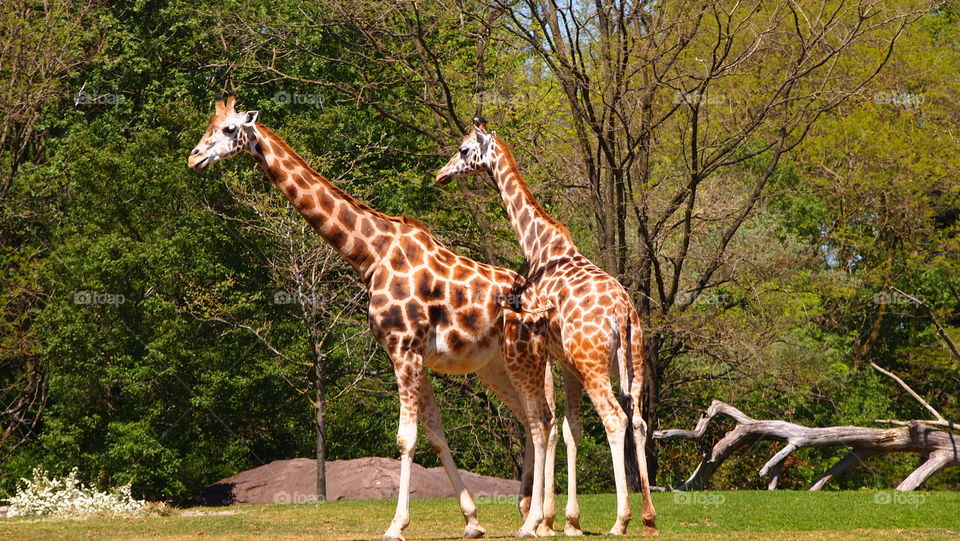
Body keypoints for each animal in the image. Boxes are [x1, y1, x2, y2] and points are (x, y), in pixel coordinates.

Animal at [187, 94, 556, 540]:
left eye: (228, 129)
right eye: (209, 125)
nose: (193, 157)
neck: (369, 254)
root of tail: (542, 300)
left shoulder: (404, 349)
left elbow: (406, 439)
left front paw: (396, 525)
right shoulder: (411, 355)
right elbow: (435, 435)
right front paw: (471, 520)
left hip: (523, 357)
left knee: (540, 421)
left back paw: (535, 522)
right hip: (495, 365)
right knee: (532, 419)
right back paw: (532, 515)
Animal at [435, 118, 658, 536]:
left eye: (463, 150)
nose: (440, 174)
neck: (539, 247)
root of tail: (622, 312)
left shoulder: (552, 353)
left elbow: (551, 423)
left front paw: (546, 519)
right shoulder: (567, 360)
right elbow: (571, 428)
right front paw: (568, 519)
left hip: (593, 364)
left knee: (614, 418)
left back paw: (621, 520)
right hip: (633, 365)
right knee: (637, 420)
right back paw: (649, 518)